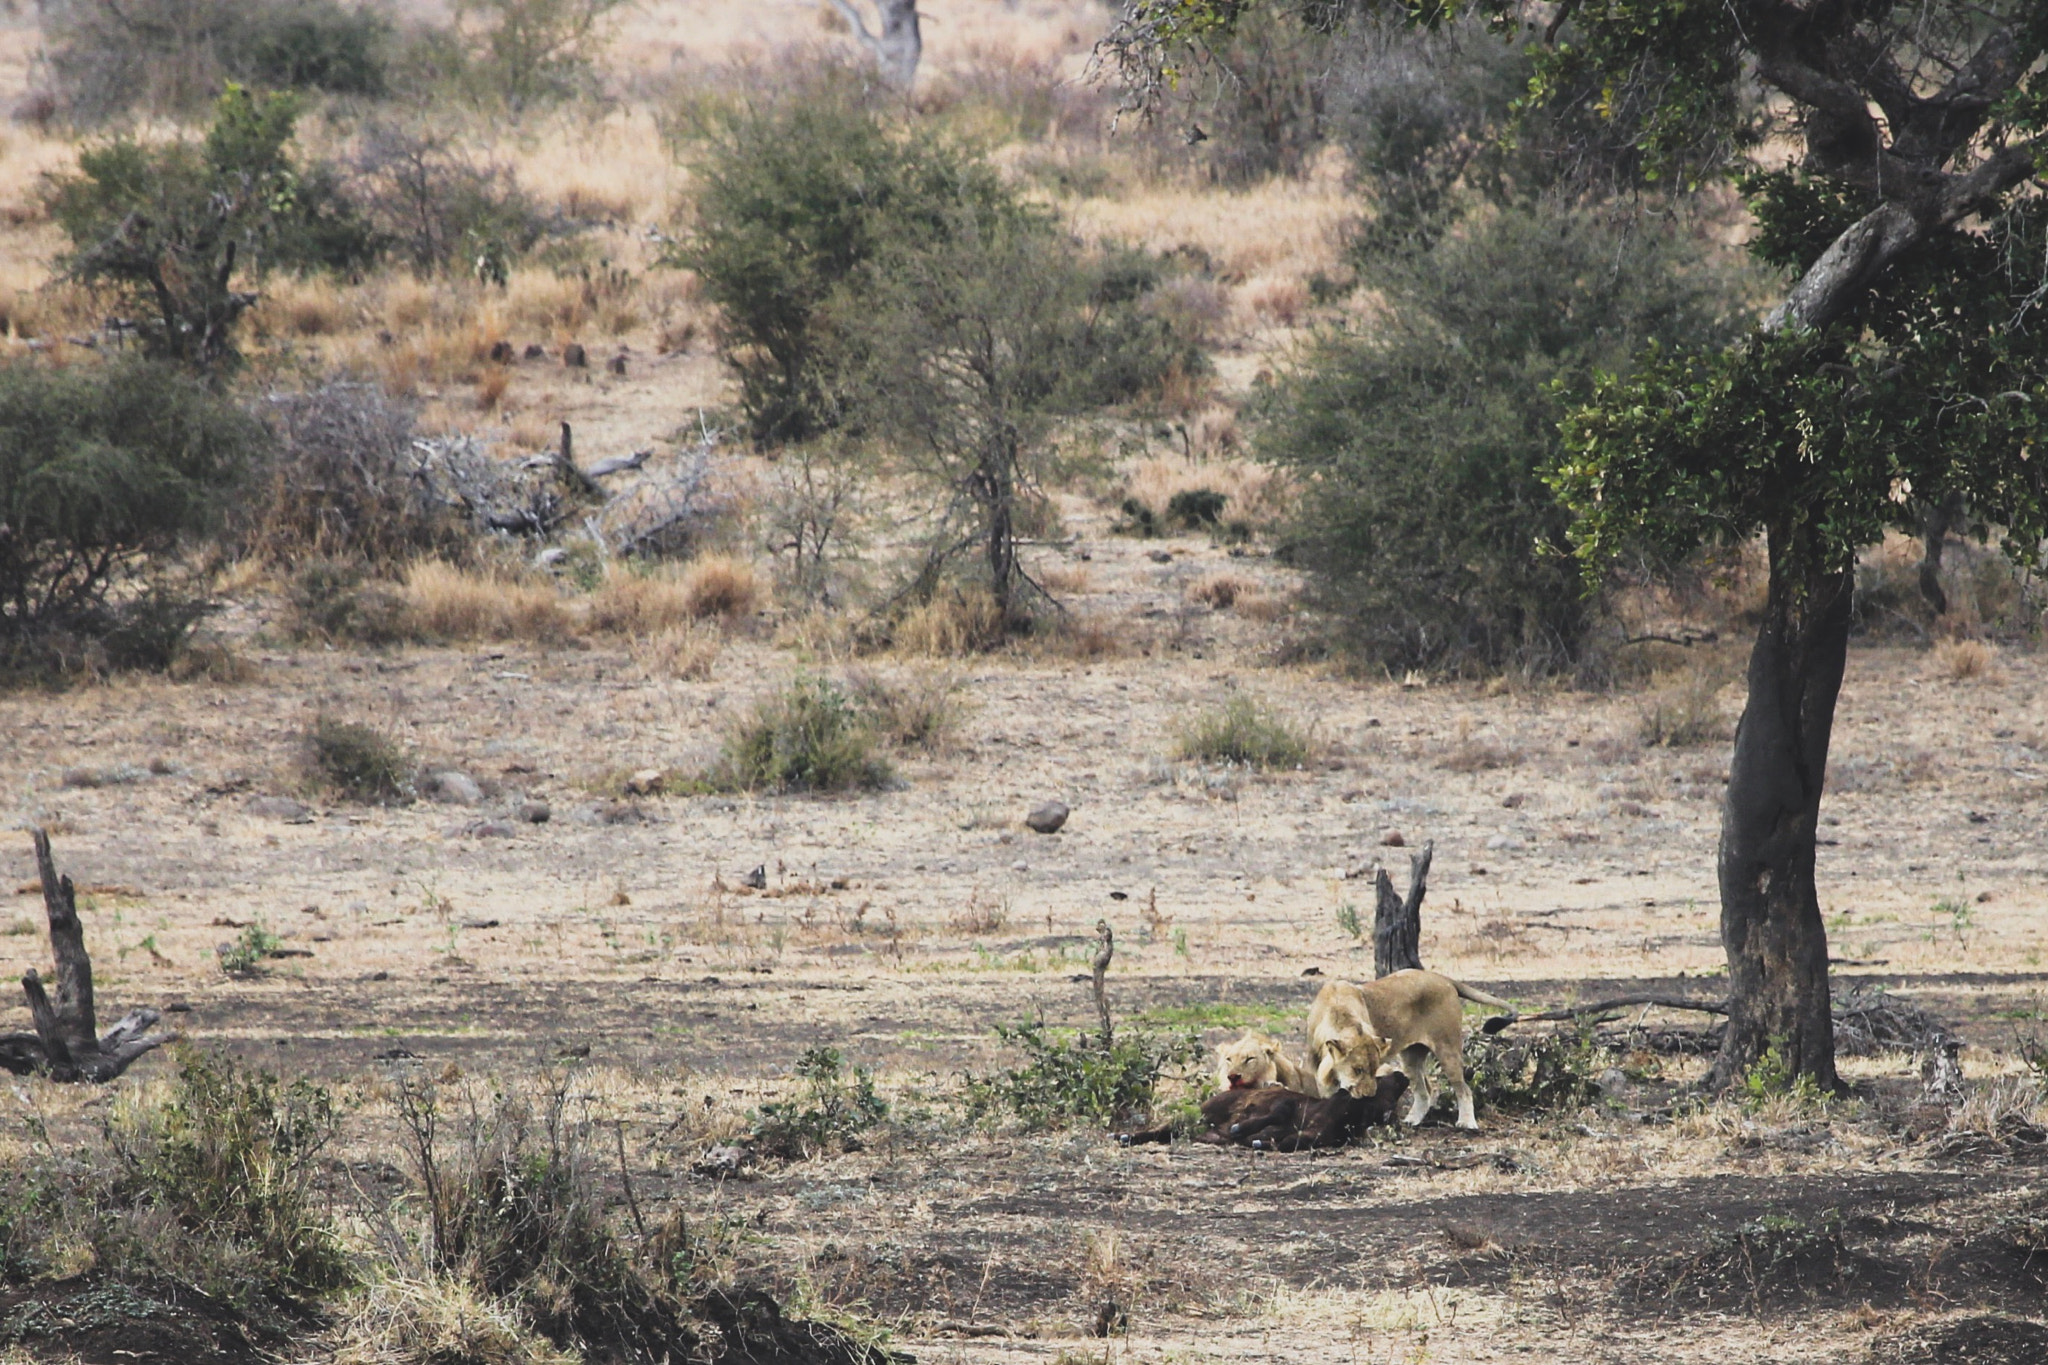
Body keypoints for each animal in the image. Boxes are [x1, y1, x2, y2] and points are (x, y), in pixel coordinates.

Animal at [1302, 970, 1515, 1129]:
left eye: (1374, 1070)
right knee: (1424, 1091)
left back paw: (1467, 1123)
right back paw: (1413, 1121)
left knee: (1464, 1089)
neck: (1338, 1013)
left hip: (1447, 1049)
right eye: (1358, 1069)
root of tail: (1443, 978)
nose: (1369, 1096)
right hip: (1411, 1058)